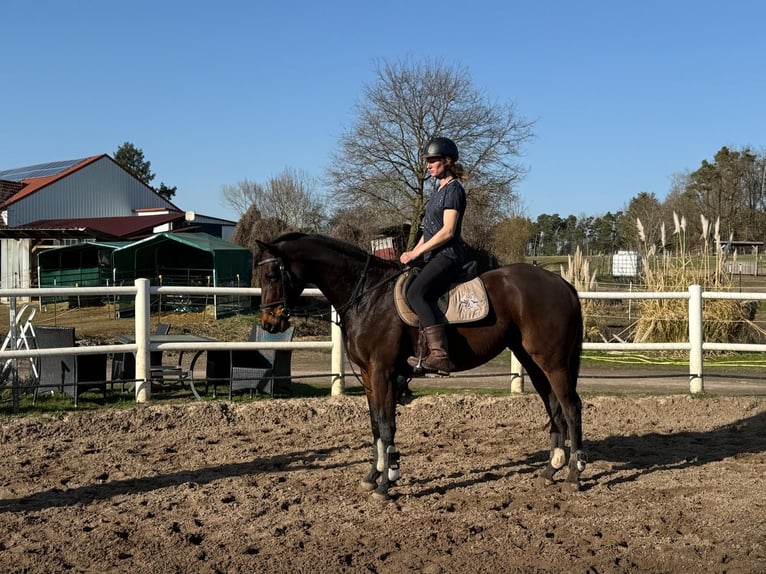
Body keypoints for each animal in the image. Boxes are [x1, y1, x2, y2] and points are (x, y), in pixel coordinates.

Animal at [255, 232, 587, 500]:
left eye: (272, 275)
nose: (270, 323)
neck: (368, 296)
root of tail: (563, 284)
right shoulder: (367, 374)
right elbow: (375, 425)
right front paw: (375, 475)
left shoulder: (383, 372)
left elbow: (386, 425)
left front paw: (385, 485)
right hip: (532, 360)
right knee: (554, 406)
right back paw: (550, 470)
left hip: (553, 362)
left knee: (571, 407)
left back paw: (573, 475)